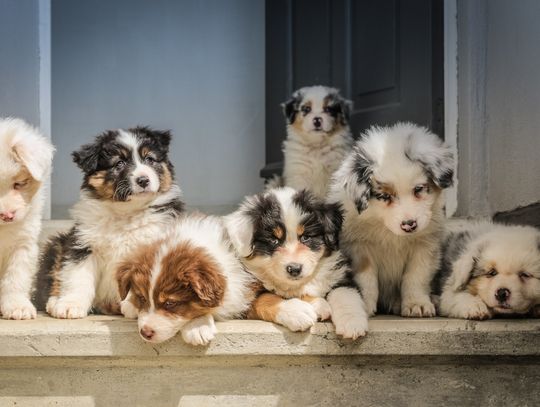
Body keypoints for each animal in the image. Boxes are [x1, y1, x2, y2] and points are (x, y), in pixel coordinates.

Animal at [37, 126, 186, 318]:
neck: (126, 212)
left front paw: (134, 305)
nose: (143, 180)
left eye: (150, 159)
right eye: (119, 163)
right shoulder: (83, 245)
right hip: (58, 244)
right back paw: (56, 301)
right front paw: (71, 304)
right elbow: (77, 276)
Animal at [224, 188, 368, 342]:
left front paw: (352, 323)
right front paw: (299, 311)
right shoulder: (243, 298)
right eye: (274, 240)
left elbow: (345, 293)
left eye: (305, 237)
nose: (294, 269)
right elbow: (266, 297)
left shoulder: (339, 273)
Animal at [326, 122, 454, 318]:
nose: (409, 225)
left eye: (418, 189)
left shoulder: (424, 246)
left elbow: (416, 276)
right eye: (384, 196)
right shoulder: (359, 248)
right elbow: (366, 278)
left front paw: (417, 304)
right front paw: (364, 305)